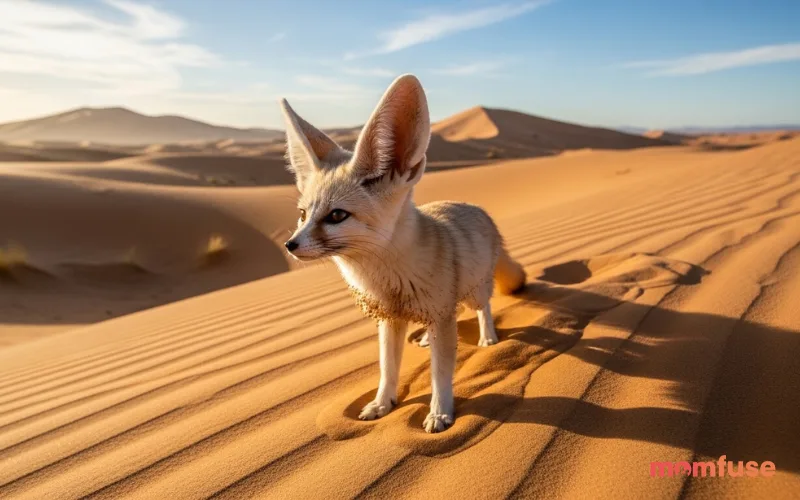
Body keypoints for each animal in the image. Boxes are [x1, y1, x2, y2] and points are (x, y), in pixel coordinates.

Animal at [280, 74, 526, 433]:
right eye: (301, 215)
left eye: (337, 216)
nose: (290, 245)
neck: (389, 279)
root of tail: (476, 207)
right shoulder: (389, 320)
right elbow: (388, 368)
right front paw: (382, 403)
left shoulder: (438, 314)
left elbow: (441, 374)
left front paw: (440, 412)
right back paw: (425, 339)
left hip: (473, 292)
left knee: (484, 308)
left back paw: (488, 337)